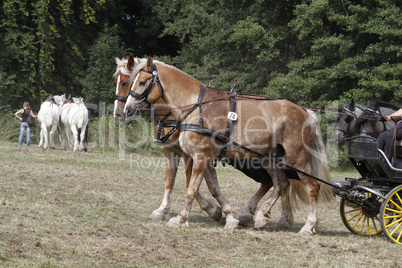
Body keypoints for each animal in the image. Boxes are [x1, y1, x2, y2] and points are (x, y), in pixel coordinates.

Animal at [125, 56, 332, 234]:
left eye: (142, 82)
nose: (126, 109)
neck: (195, 106)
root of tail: (305, 112)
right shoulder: (201, 157)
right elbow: (211, 187)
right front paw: (228, 217)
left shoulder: (200, 156)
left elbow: (192, 188)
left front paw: (181, 218)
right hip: (269, 157)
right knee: (281, 183)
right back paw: (261, 215)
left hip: (298, 157)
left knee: (312, 186)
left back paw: (307, 226)